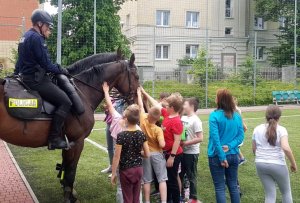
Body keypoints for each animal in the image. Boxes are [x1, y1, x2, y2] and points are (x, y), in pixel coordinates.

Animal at [0, 54, 139, 203]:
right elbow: (71, 170)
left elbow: (65, 167)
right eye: (137, 76)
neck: (83, 92)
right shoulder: (77, 141)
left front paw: (68, 191)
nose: (137, 102)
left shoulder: (67, 143)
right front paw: (69, 197)